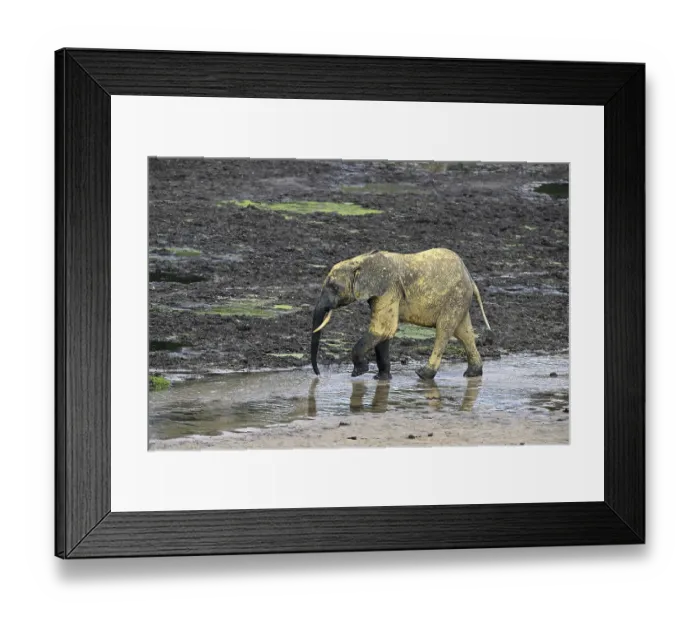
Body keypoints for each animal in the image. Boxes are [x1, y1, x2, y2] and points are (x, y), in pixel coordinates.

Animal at [310, 248, 493, 380]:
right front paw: (381, 379)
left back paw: (423, 375)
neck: (360, 261)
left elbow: (382, 329)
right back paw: (472, 374)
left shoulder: (389, 289)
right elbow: (384, 333)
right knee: (464, 332)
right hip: (460, 299)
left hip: (456, 297)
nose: (319, 375)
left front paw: (359, 372)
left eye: (334, 287)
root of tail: (470, 278)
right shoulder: (381, 293)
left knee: (444, 331)